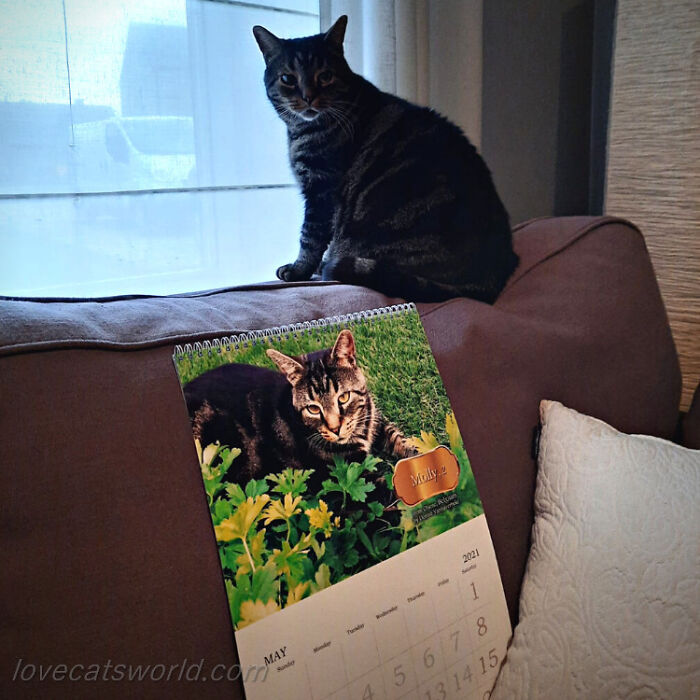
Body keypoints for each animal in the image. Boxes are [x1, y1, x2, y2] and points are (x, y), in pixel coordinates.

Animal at [183, 330, 418, 490]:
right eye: (313, 408)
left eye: (343, 397)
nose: (335, 429)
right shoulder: (349, 470)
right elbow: (390, 488)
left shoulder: (377, 421)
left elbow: (402, 440)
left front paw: (421, 453)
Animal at [254, 14, 516, 304]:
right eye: (287, 78)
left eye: (325, 76)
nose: (308, 97)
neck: (302, 130)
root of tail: (493, 276)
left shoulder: (321, 189)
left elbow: (310, 237)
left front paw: (298, 270)